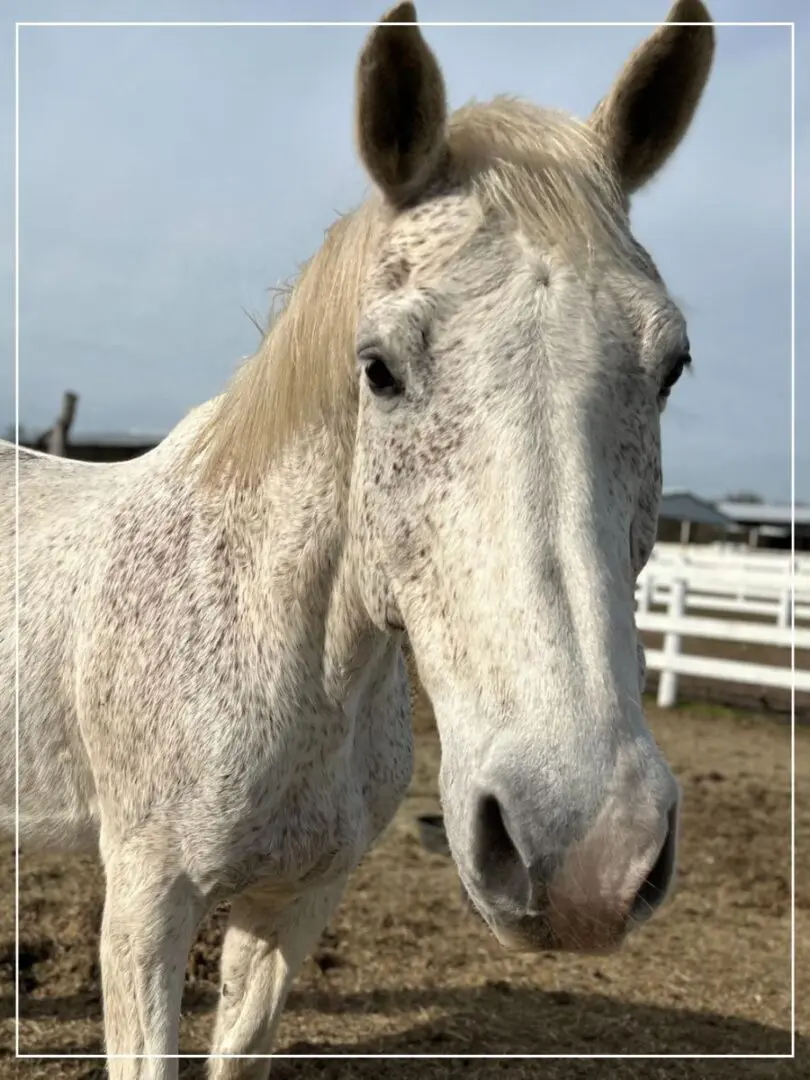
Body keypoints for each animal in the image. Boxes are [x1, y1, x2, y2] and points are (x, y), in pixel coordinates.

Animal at [0, 4, 712, 1075]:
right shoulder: (144, 907)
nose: (587, 848)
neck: (270, 642)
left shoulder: (296, 905)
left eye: (671, 366)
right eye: (378, 367)